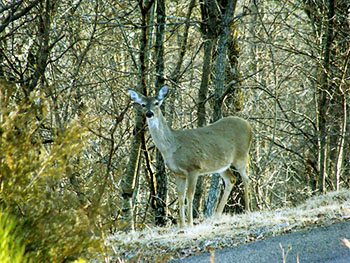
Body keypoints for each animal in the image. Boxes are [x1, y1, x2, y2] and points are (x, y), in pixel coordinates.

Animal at [129, 86, 252, 227]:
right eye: (143, 104)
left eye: (156, 103)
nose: (149, 113)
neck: (172, 146)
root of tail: (249, 126)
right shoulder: (178, 173)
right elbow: (181, 196)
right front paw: (182, 224)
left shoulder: (193, 167)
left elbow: (190, 195)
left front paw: (189, 223)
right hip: (221, 165)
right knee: (231, 179)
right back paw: (216, 216)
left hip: (242, 155)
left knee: (246, 178)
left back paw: (247, 210)